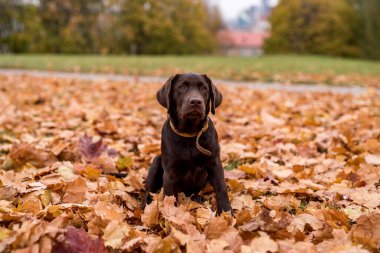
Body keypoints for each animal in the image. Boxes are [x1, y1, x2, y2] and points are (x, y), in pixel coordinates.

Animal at [144, 73, 232, 213]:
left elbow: (221, 189)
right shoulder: (170, 171)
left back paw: (197, 198)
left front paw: (227, 213)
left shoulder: (215, 164)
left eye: (203, 88)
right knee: (149, 190)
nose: (196, 101)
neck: (190, 134)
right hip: (157, 161)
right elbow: (170, 196)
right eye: (182, 87)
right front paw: (170, 215)